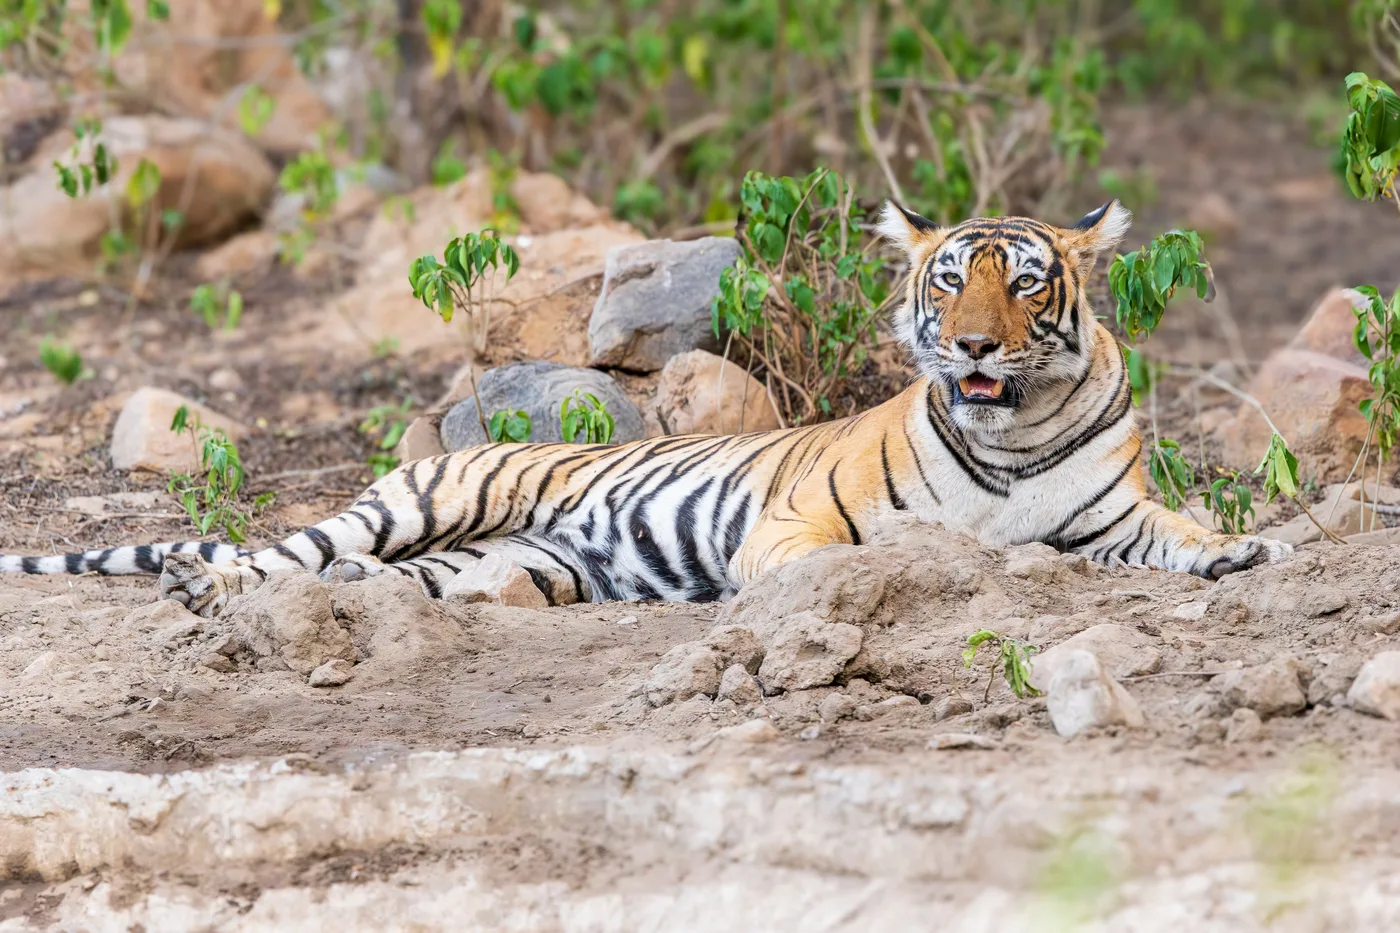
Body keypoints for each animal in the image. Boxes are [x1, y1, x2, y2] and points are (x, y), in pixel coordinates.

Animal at [1, 198, 1292, 617]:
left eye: (1023, 282)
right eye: (944, 279)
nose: (972, 342)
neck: (1009, 428)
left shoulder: (1110, 519)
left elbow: (1179, 536)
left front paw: (1245, 552)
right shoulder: (797, 523)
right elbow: (872, 551)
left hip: (515, 563)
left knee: (409, 582)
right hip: (411, 504)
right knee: (276, 553)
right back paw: (207, 586)